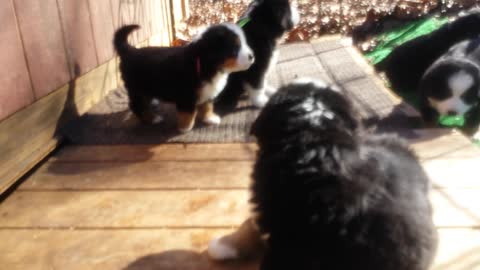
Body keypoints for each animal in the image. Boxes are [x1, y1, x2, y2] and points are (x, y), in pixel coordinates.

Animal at [114, 23, 255, 132]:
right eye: (235, 48)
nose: (252, 56)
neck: (205, 63)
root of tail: (130, 51)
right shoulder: (186, 95)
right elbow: (188, 113)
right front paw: (185, 127)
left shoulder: (208, 91)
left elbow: (207, 106)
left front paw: (210, 118)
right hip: (137, 88)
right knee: (136, 105)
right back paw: (152, 118)